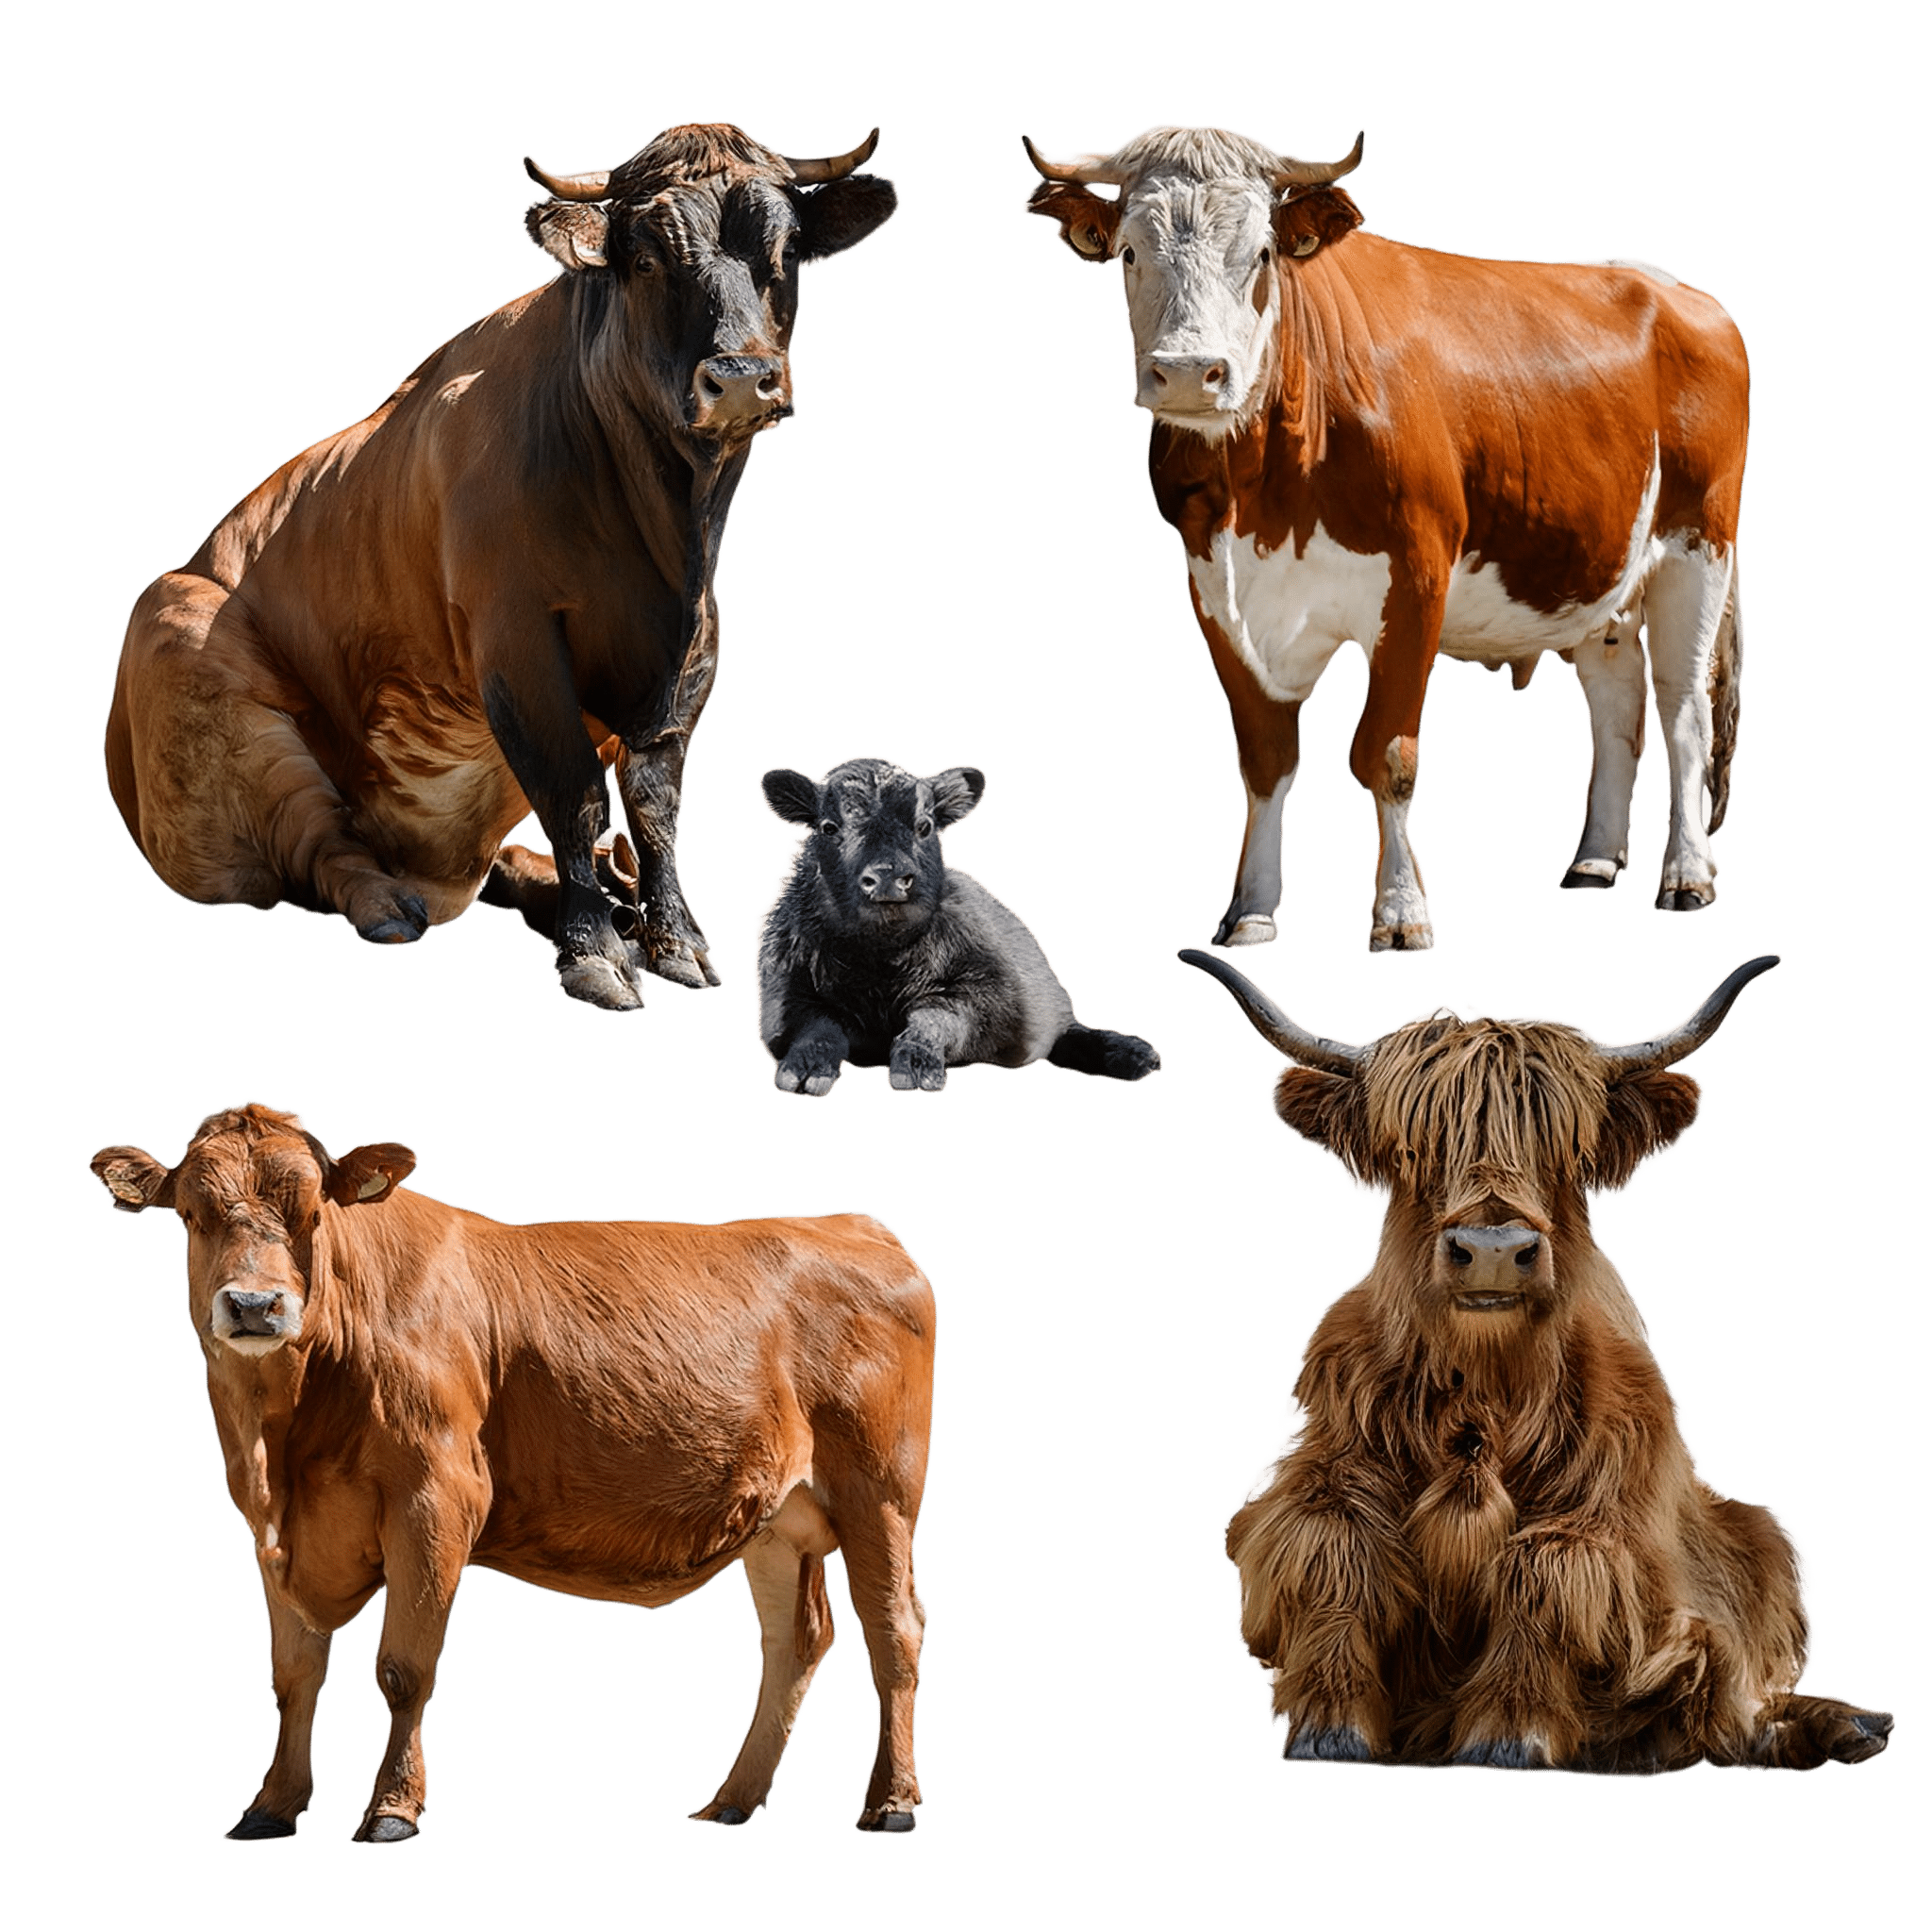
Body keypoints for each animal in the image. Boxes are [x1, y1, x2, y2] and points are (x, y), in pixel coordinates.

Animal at [89, 1105, 934, 1838]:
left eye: (312, 1215)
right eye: (191, 1214)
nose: (255, 1306)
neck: (285, 1443)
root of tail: (853, 1224)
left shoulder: (436, 1497)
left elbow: (403, 1669)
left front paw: (392, 1808)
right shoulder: (270, 1526)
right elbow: (294, 1676)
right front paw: (271, 1805)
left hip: (881, 1492)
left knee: (894, 1632)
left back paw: (891, 1801)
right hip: (777, 1520)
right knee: (795, 1641)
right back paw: (734, 1797)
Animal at [106, 124, 897, 1009]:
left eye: (787, 251)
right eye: (645, 258)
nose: (738, 379)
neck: (666, 537)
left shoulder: (693, 652)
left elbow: (655, 803)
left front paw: (675, 937)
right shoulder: (516, 642)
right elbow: (574, 788)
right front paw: (594, 954)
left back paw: (591, 893)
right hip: (201, 666)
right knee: (321, 843)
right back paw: (397, 904)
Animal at [758, 757, 1162, 1094]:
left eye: (925, 826)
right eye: (828, 827)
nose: (888, 879)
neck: (880, 961)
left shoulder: (987, 998)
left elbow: (934, 1018)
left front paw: (916, 1063)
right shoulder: (786, 1000)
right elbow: (819, 1029)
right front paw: (805, 1069)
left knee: (1068, 1033)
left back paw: (1133, 1054)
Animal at [1026, 126, 1750, 953]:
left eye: (1263, 254)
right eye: (1127, 252)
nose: (1186, 373)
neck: (1266, 496)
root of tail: (1668, 285)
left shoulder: (1417, 580)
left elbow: (1386, 754)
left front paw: (1401, 912)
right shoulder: (1214, 591)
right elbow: (1267, 760)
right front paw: (1251, 910)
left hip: (1699, 545)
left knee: (1683, 709)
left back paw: (1686, 874)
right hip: (1595, 567)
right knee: (1615, 701)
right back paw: (1595, 859)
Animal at [1182, 949, 1892, 1773]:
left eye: (1565, 1152)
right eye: (1414, 1147)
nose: (1493, 1250)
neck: (1484, 1392)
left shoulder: (1614, 1519)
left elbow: (1548, 1566)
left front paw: (1510, 1725)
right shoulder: (1318, 1472)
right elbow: (1332, 1540)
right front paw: (1332, 1720)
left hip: (1760, 1544)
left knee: (1745, 1696)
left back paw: (1832, 1727)